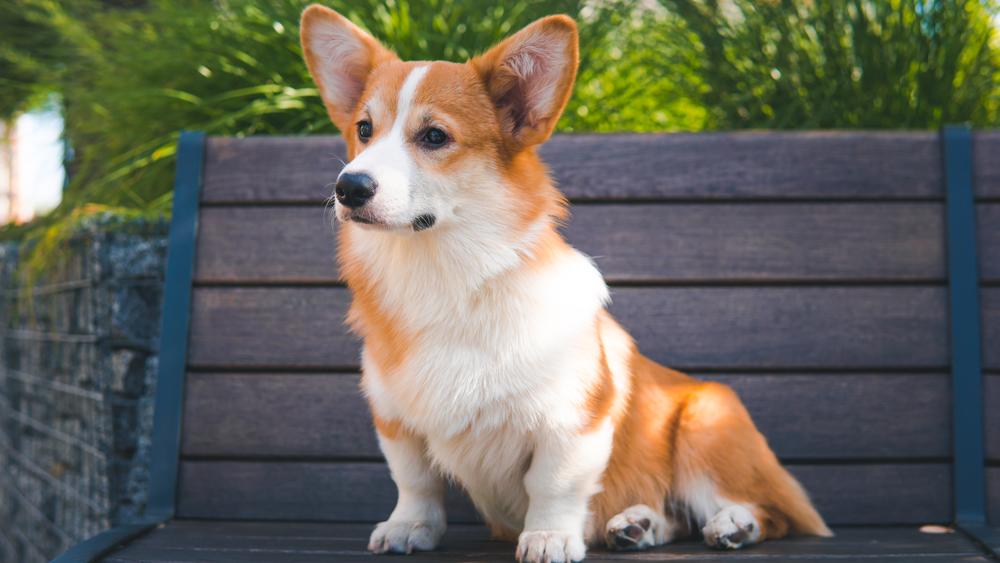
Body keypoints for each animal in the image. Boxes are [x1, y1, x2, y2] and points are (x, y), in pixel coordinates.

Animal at [300, 6, 832, 560]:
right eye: (364, 129)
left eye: (434, 137)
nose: (348, 187)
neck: (440, 274)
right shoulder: (395, 420)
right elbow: (415, 482)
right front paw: (408, 527)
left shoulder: (572, 420)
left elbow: (552, 484)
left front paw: (548, 536)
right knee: (673, 516)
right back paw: (638, 524)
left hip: (707, 426)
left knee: (768, 511)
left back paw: (734, 524)